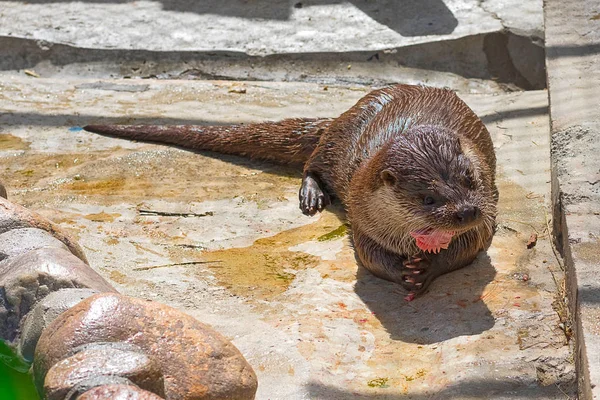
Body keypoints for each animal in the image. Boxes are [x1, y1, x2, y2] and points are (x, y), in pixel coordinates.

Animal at [84, 84, 496, 298]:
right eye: (428, 198)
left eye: (469, 179)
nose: (466, 211)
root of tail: (343, 114)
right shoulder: (364, 217)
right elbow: (370, 257)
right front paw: (404, 273)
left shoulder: (486, 214)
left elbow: (468, 247)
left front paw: (426, 270)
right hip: (338, 146)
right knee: (311, 164)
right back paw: (311, 196)